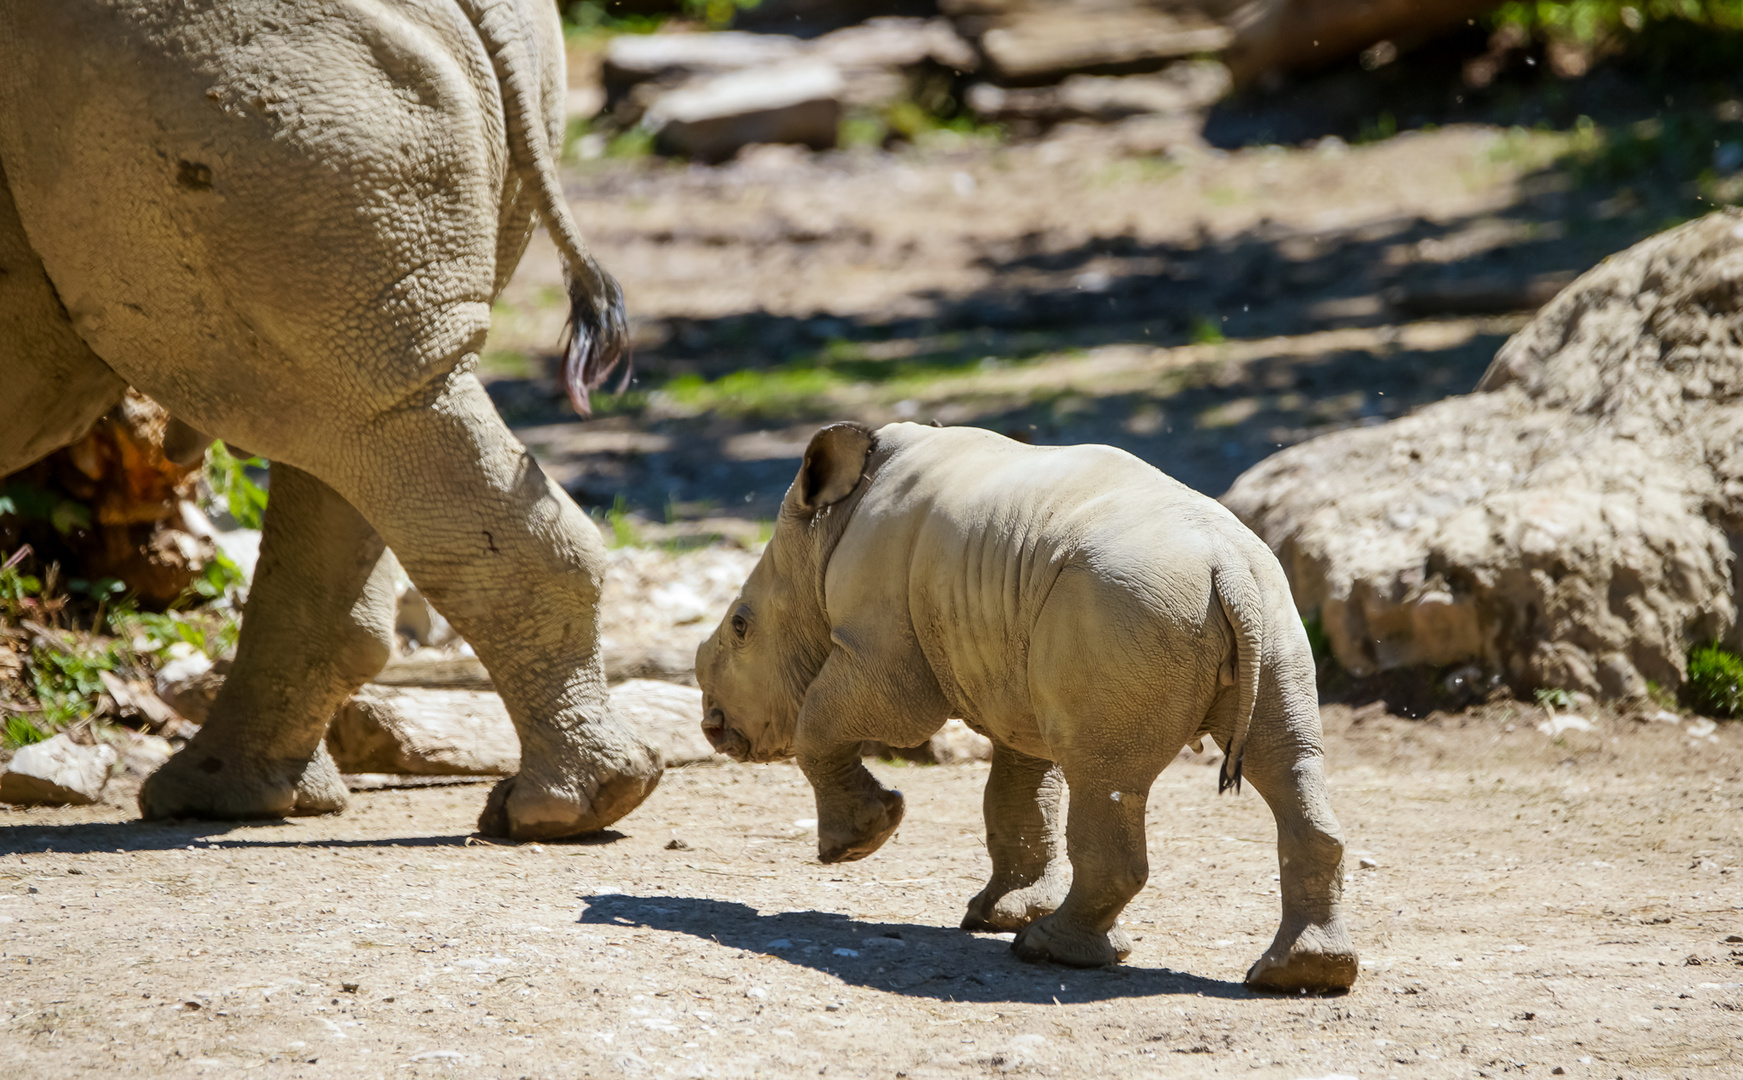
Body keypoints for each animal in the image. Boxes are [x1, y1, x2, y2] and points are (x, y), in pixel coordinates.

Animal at [693, 421, 1359, 996]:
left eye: (741, 627)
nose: (712, 727)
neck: (821, 537)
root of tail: (1227, 567)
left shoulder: (880, 653)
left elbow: (822, 724)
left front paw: (855, 845)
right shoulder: (1008, 674)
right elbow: (1017, 797)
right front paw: (995, 916)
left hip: (1125, 608)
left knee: (1105, 774)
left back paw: (1047, 951)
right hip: (1269, 610)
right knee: (1286, 759)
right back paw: (1301, 978)